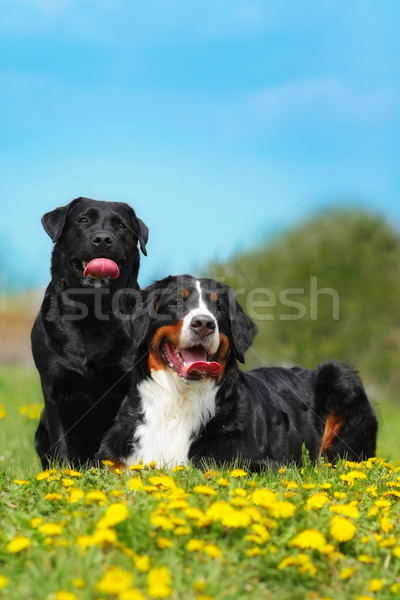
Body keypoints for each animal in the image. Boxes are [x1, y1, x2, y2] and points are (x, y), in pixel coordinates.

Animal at [32, 197, 148, 468]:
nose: (103, 239)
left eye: (121, 226)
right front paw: (64, 474)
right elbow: (60, 442)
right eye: (83, 220)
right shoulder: (52, 390)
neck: (92, 312)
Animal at [97, 274, 378, 472]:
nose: (204, 324)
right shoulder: (112, 459)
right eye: (176, 301)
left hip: (339, 376)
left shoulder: (250, 463)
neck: (178, 401)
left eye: (218, 307)